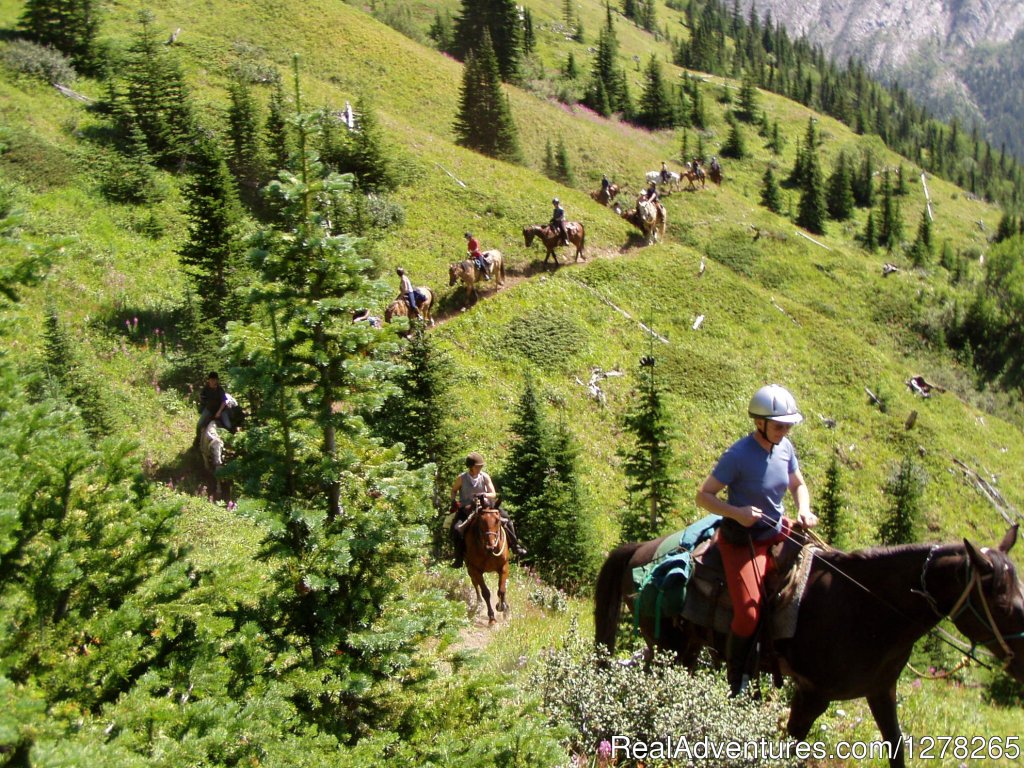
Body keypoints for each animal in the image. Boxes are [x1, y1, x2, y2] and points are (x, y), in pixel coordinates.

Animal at [593, 528, 1024, 768]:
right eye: (1006, 607)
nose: (1020, 666)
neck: (868, 608)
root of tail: (640, 550)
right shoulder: (812, 694)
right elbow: (789, 750)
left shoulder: (881, 692)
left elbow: (897, 750)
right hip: (668, 648)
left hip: (686, 651)